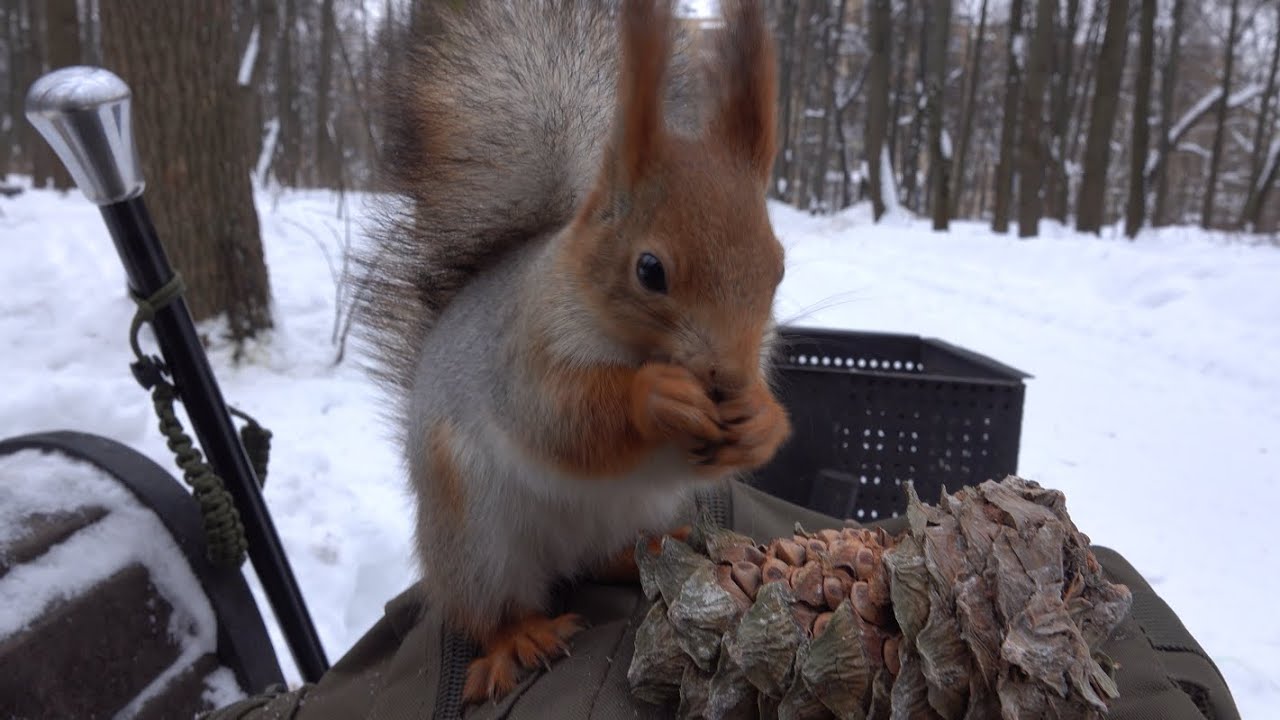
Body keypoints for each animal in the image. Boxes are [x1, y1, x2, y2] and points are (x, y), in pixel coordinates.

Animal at [350, 0, 791, 703]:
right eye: (649, 270)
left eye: (778, 266)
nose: (726, 377)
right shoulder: (522, 351)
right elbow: (561, 420)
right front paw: (656, 397)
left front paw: (759, 419)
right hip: (475, 539)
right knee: (491, 609)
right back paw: (519, 638)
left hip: (628, 512)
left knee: (602, 555)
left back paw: (653, 548)